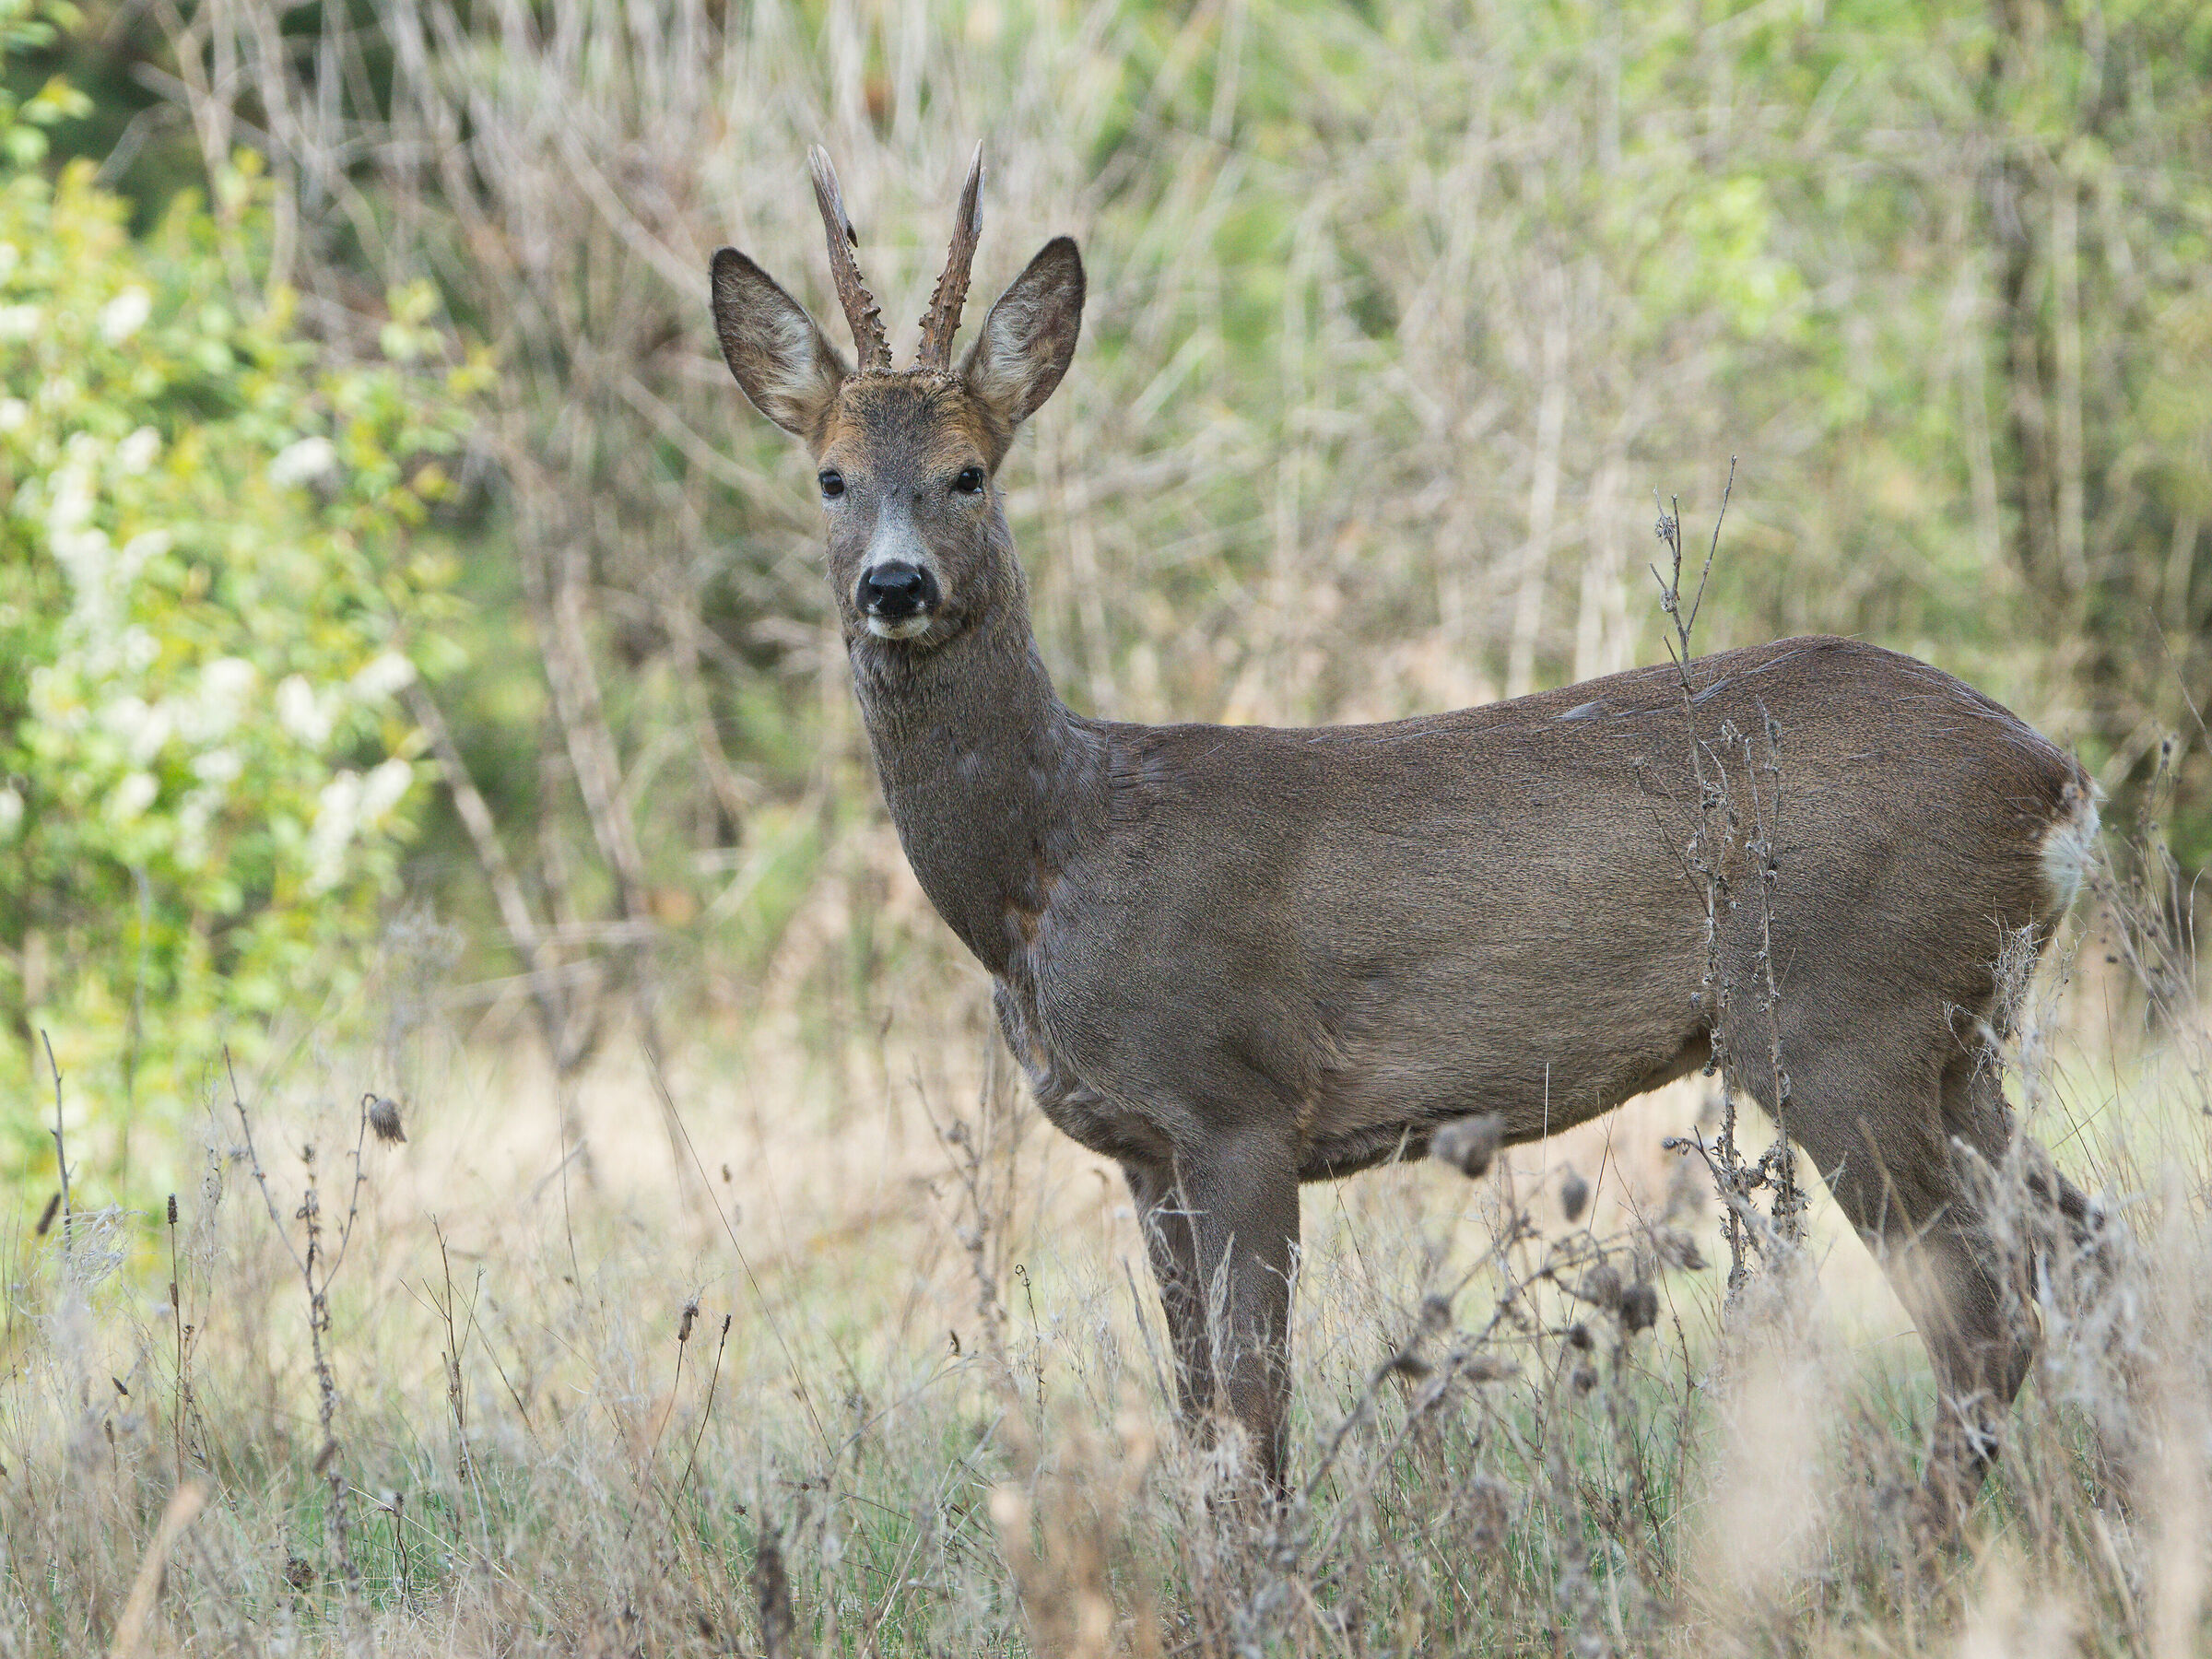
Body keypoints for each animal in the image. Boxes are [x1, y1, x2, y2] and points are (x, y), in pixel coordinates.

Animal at [708, 147, 2105, 1529]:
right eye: (831, 477)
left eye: (970, 471)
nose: (895, 585)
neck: (1051, 865)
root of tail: (2058, 785)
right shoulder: (1141, 1150)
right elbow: (1200, 1428)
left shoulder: (1236, 1094)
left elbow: (1255, 1426)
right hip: (1961, 1032)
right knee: (2086, 1246)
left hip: (1840, 1012)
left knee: (1985, 1317)